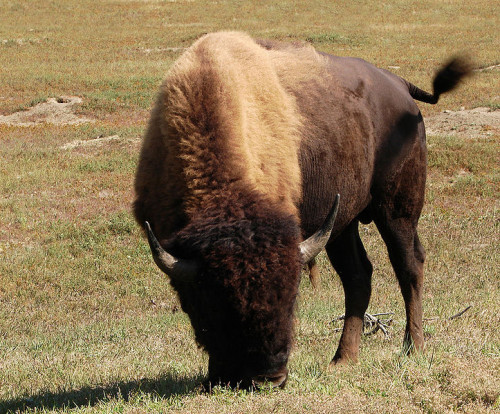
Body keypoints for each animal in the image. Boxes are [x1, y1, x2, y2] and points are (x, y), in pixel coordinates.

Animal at [133, 31, 468, 388]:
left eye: (293, 297)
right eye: (217, 303)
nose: (270, 377)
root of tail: (399, 86)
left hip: (397, 211)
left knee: (409, 265)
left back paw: (413, 347)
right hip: (343, 223)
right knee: (358, 276)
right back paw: (342, 359)